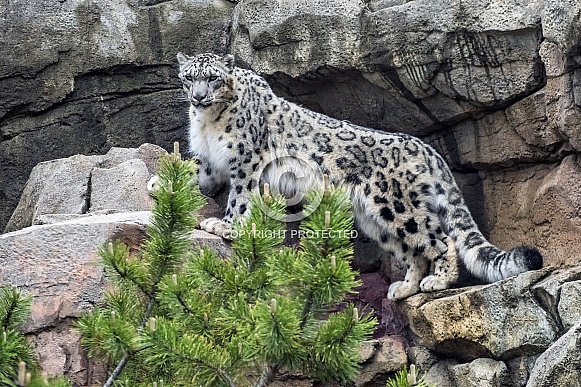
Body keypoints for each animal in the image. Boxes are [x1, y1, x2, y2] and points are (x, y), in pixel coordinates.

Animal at [176, 52, 540, 300]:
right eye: (189, 77)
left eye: (213, 77)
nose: (198, 97)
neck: (208, 121)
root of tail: (426, 149)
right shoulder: (210, 160)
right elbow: (197, 174)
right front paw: (172, 184)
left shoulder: (246, 159)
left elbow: (239, 196)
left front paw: (224, 225)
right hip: (375, 220)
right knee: (412, 251)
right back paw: (404, 287)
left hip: (398, 206)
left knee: (440, 240)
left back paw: (438, 280)